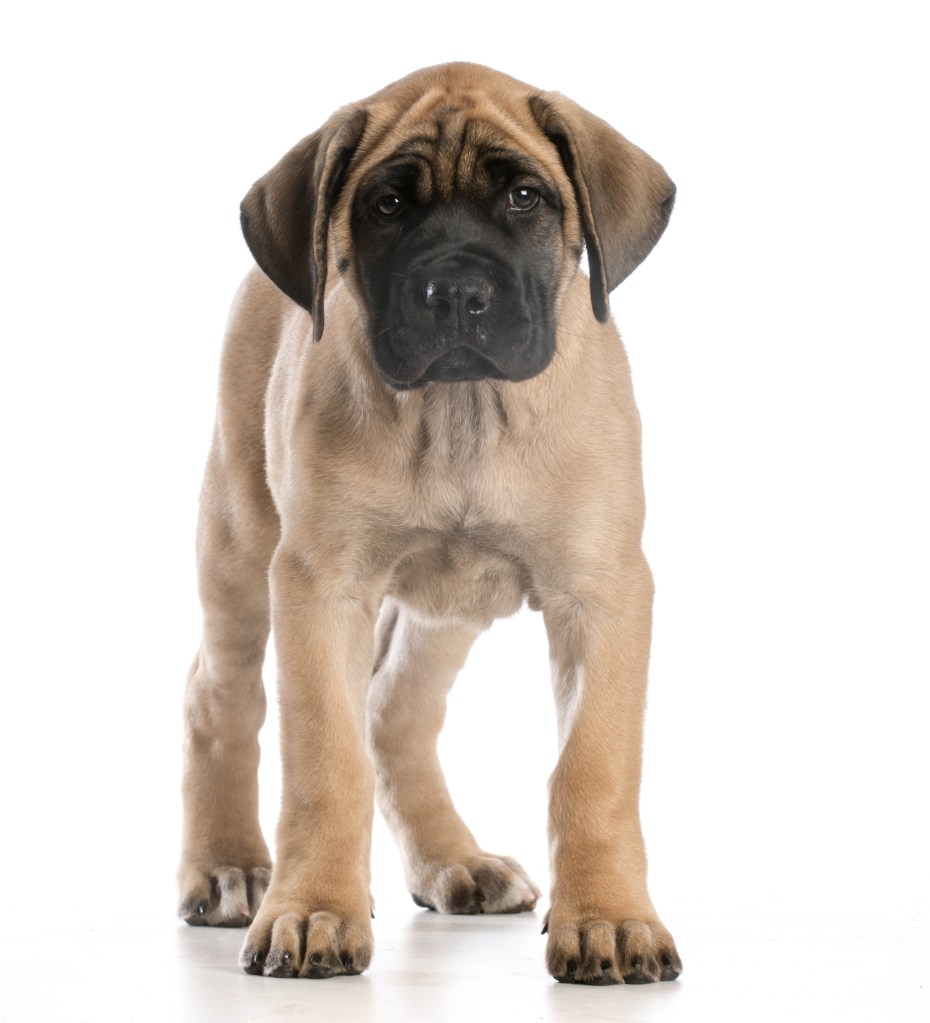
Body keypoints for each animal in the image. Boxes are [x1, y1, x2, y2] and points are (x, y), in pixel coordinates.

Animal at [178, 61, 679, 982]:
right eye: (386, 205)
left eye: (524, 196)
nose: (456, 294)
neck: (461, 410)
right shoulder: (320, 586)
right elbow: (324, 759)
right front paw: (313, 909)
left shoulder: (602, 591)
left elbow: (592, 766)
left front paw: (608, 917)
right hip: (238, 539)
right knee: (218, 694)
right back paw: (230, 865)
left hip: (450, 602)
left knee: (394, 710)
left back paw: (454, 859)